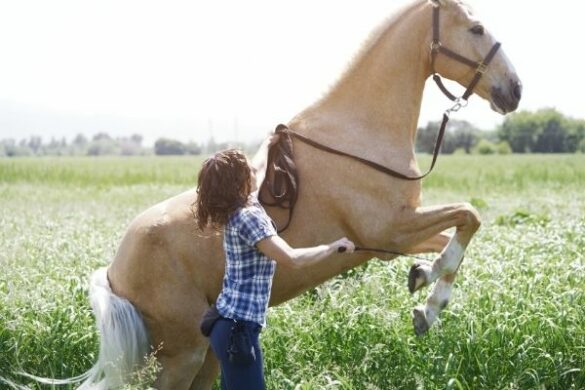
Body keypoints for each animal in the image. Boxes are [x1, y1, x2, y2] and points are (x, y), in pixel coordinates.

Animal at [72, 0, 520, 388]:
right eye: (476, 29)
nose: (514, 89)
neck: (359, 134)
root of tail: (113, 272)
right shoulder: (392, 229)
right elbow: (469, 215)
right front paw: (428, 296)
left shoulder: (393, 239)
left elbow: (456, 242)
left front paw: (425, 295)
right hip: (181, 357)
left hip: (206, 355)